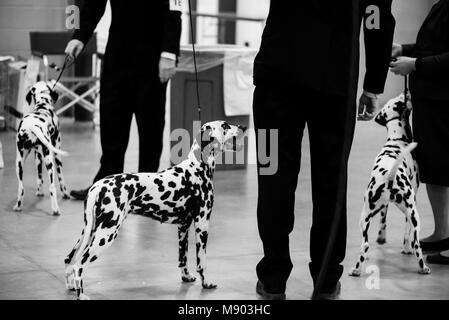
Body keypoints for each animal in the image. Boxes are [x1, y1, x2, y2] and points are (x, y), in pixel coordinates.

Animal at [13, 80, 69, 216]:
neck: (42, 105)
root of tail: (31, 126)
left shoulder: (37, 155)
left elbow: (39, 177)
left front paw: (39, 192)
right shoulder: (56, 153)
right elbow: (61, 178)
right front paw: (66, 194)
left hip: (19, 163)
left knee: (21, 187)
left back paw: (18, 206)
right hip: (50, 161)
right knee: (52, 187)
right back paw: (55, 209)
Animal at [64, 120, 245, 300]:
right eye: (225, 125)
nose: (243, 127)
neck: (198, 167)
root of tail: (97, 186)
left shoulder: (183, 226)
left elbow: (183, 257)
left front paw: (186, 277)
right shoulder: (202, 224)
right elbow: (202, 261)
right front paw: (206, 282)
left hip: (90, 231)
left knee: (68, 259)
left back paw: (71, 287)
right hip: (105, 235)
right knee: (78, 265)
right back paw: (81, 294)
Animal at [348, 94, 428, 276]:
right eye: (400, 98)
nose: (405, 93)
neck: (396, 140)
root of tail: (390, 176)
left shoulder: (388, 208)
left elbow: (383, 221)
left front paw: (381, 237)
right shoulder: (412, 203)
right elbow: (406, 232)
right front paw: (405, 248)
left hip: (365, 217)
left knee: (365, 244)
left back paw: (356, 269)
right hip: (413, 212)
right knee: (415, 243)